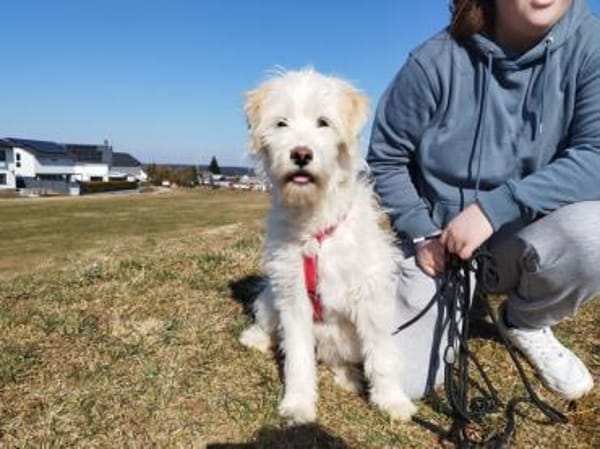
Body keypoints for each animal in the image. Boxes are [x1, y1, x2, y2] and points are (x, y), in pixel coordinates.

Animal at [239, 68, 417, 423]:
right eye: (281, 123)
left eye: (323, 122)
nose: (301, 154)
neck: (316, 230)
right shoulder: (293, 300)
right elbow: (297, 359)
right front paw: (298, 404)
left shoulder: (371, 297)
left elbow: (381, 356)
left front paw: (392, 401)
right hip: (271, 297)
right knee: (270, 325)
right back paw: (256, 337)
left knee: (345, 359)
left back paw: (349, 376)